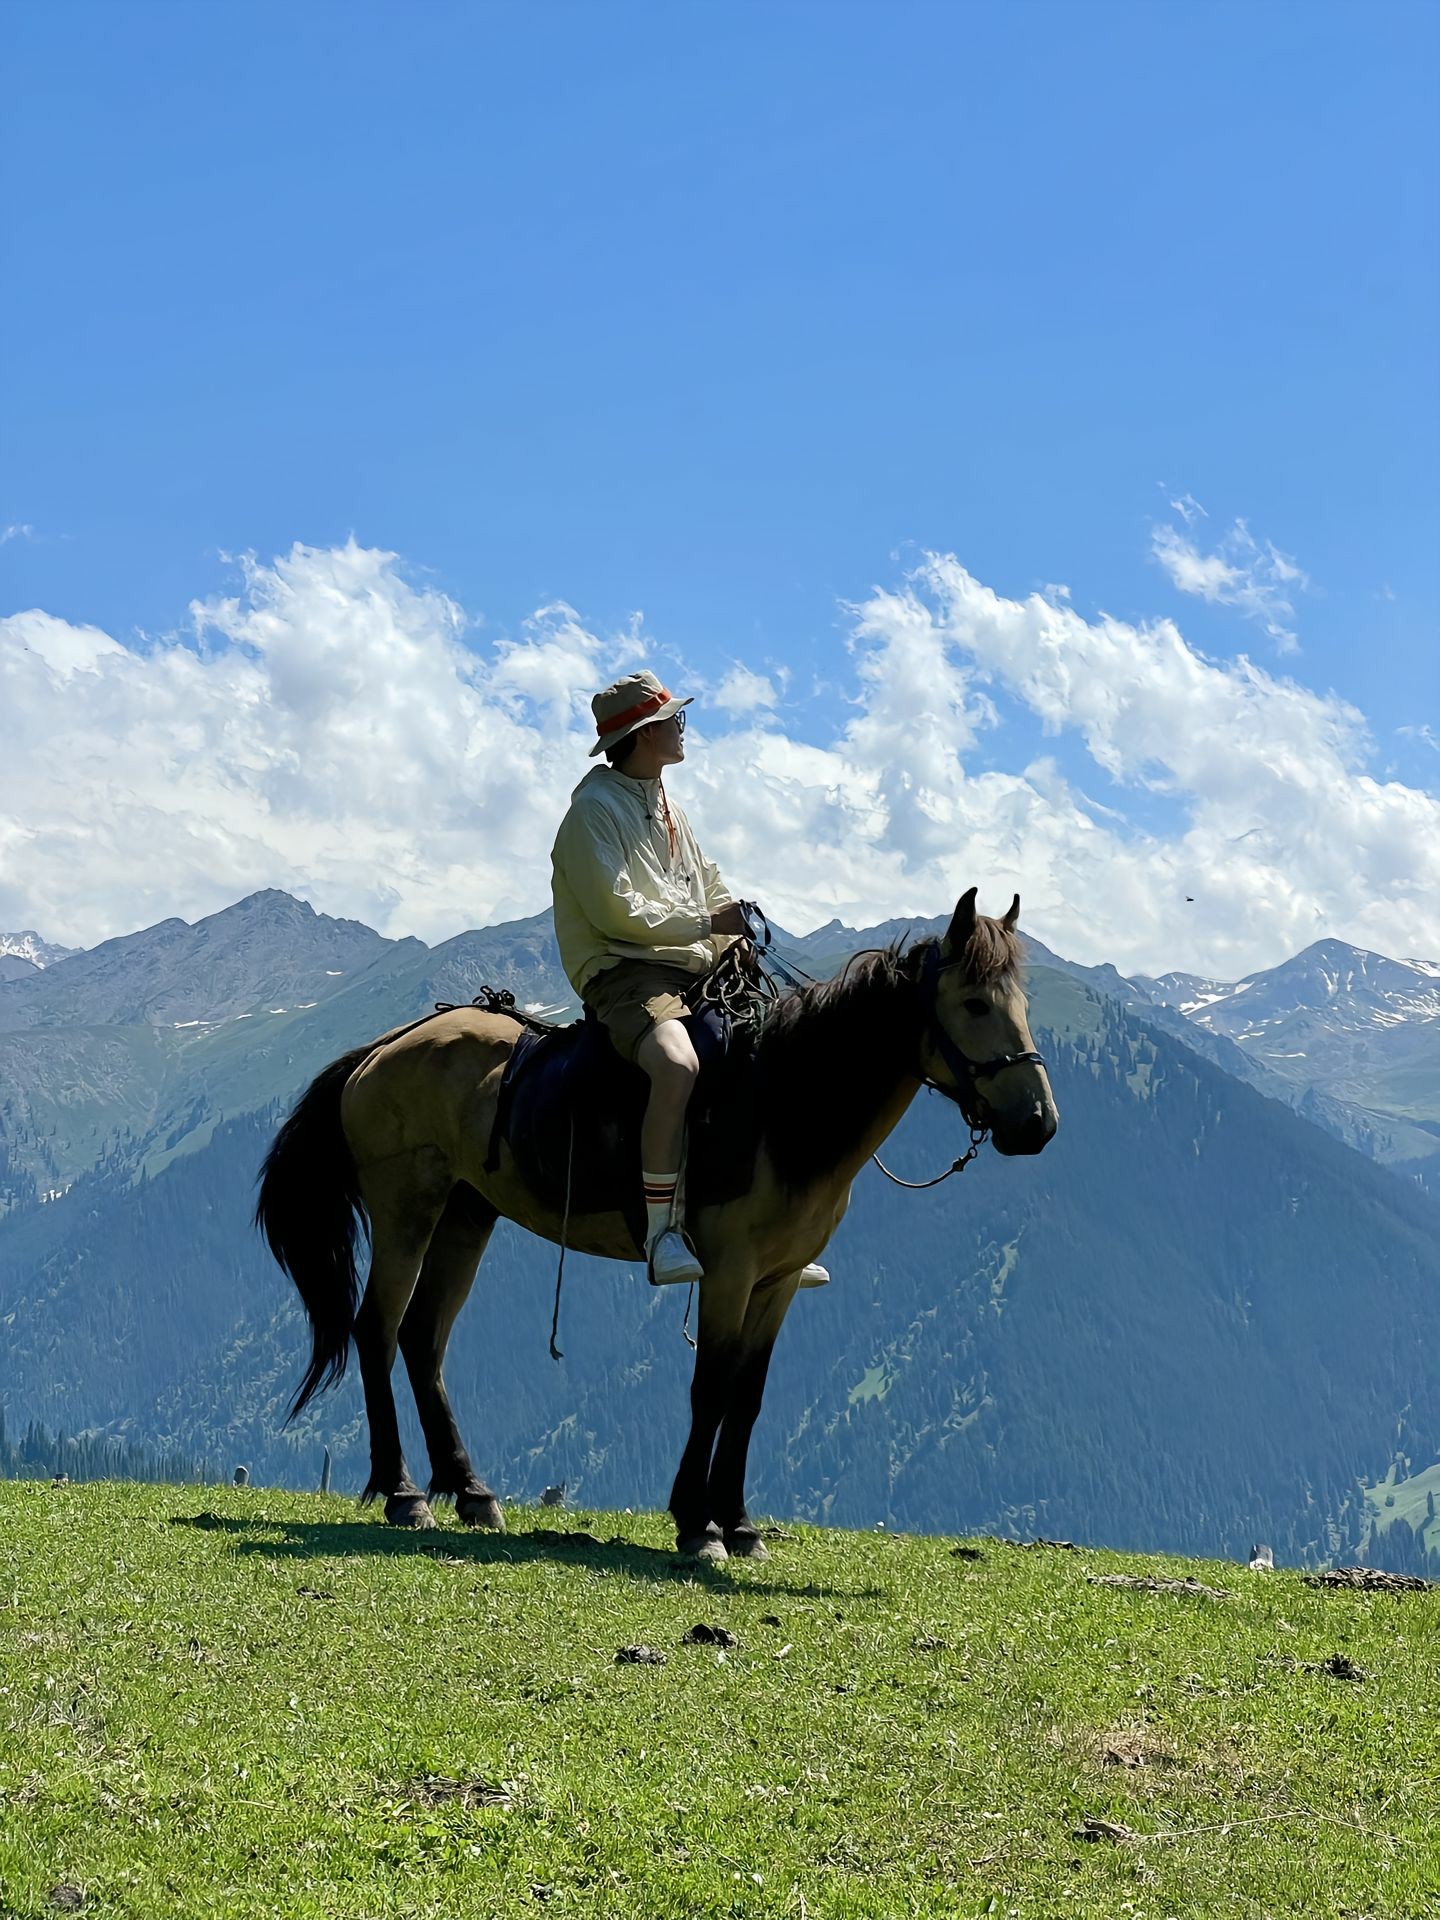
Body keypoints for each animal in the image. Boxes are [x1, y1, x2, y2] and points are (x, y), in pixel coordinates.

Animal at [253, 887, 1059, 1559]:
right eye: (975, 1004)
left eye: (1021, 1001)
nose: (1038, 1123)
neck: (784, 1106)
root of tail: (381, 1050)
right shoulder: (728, 1273)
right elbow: (712, 1386)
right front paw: (697, 1523)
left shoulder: (779, 1282)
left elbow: (749, 1397)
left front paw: (739, 1523)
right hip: (407, 1210)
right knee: (378, 1329)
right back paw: (401, 1492)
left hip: (465, 1214)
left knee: (423, 1337)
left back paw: (471, 1491)